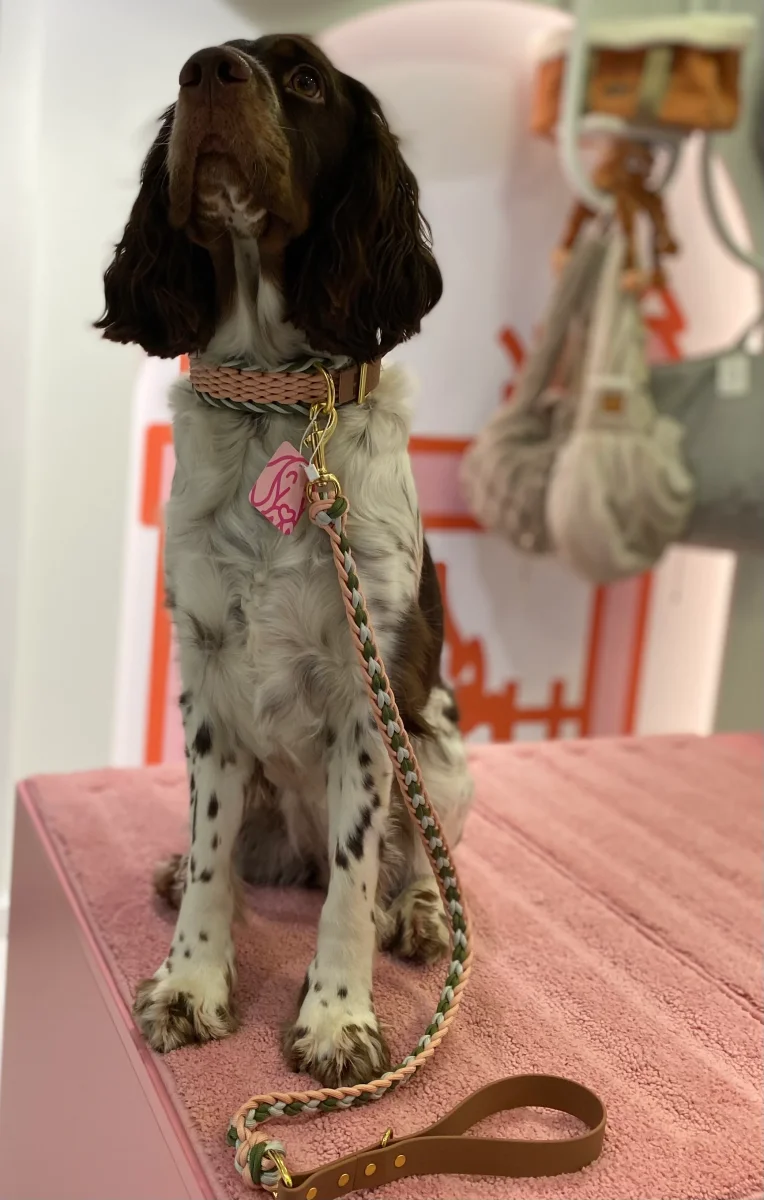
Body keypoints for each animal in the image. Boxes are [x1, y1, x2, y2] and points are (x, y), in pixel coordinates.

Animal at [97, 35, 474, 1088]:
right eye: (182, 78)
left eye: (304, 78)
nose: (205, 69)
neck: (276, 401)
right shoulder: (208, 675)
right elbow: (212, 853)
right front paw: (191, 983)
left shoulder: (366, 699)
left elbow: (351, 882)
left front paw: (339, 1019)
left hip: (441, 746)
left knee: (416, 861)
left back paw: (421, 918)